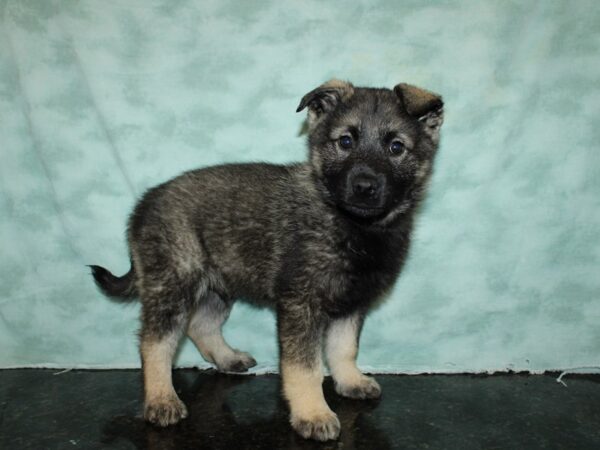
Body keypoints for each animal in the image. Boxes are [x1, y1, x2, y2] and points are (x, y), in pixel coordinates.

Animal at [91, 79, 442, 442]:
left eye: (396, 147)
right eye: (345, 141)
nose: (364, 186)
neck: (354, 225)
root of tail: (143, 205)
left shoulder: (351, 304)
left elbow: (344, 349)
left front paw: (349, 381)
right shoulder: (301, 306)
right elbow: (305, 366)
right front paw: (312, 412)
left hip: (219, 284)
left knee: (200, 324)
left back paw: (226, 358)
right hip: (173, 285)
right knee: (155, 342)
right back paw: (161, 398)